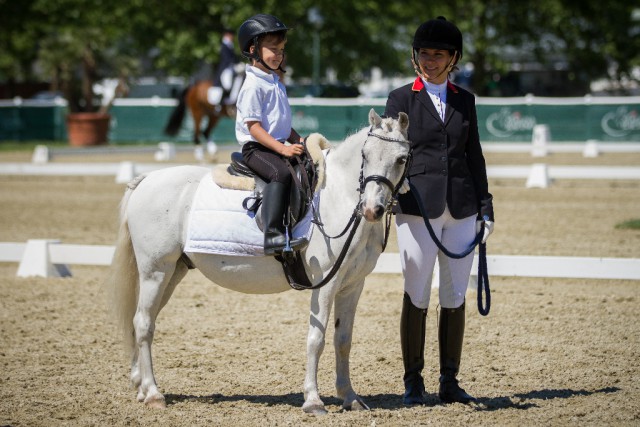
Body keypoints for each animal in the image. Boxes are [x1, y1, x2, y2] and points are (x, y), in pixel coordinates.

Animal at [106, 108, 410, 416]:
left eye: (401, 159)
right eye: (365, 155)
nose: (371, 209)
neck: (339, 196)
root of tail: (145, 180)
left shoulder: (352, 285)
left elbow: (343, 340)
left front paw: (350, 397)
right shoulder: (326, 284)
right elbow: (317, 340)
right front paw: (313, 401)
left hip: (172, 272)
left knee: (142, 321)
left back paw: (141, 388)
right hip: (155, 271)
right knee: (144, 323)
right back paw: (153, 394)